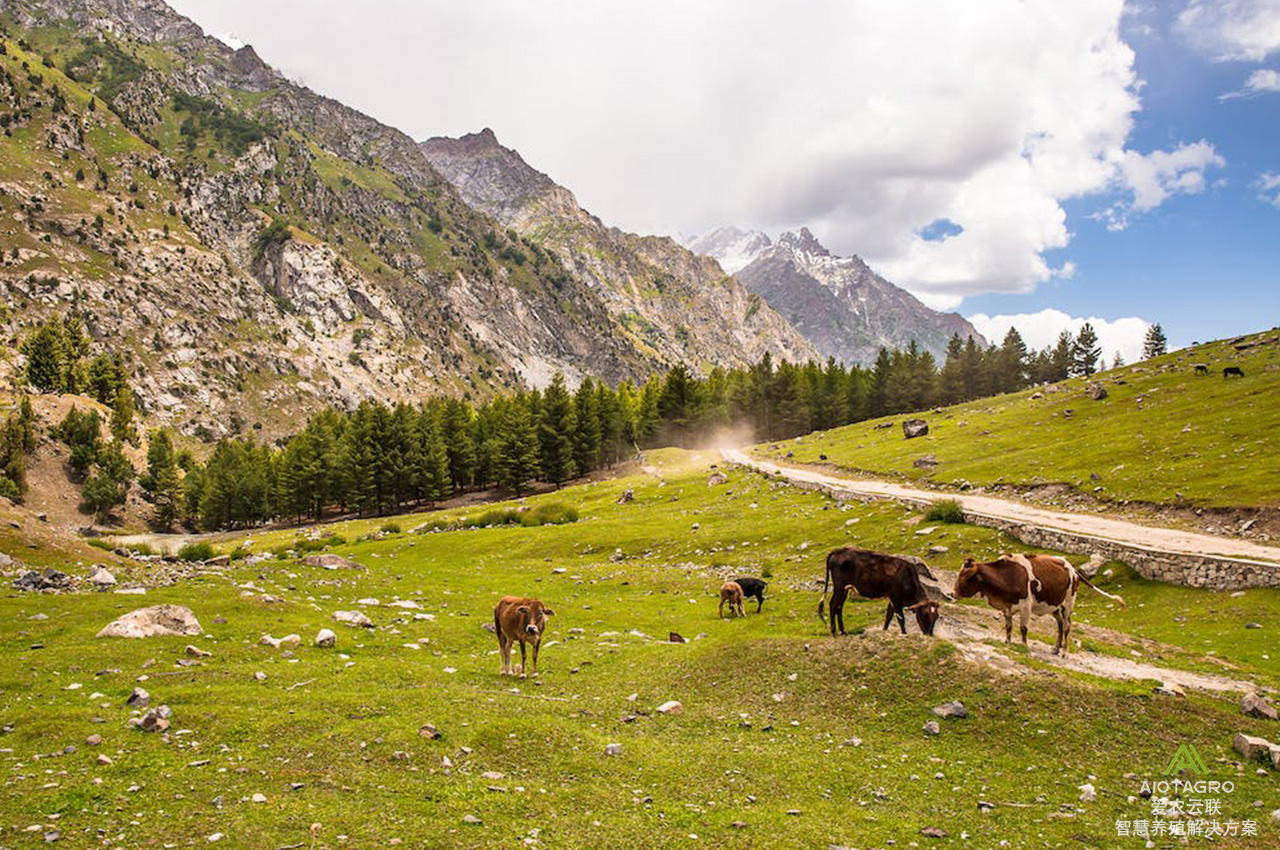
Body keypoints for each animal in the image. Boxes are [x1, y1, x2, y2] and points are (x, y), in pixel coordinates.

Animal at [957, 555, 1126, 652]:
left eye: (966, 577)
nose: (953, 593)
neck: (1008, 575)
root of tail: (1074, 570)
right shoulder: (1007, 607)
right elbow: (1009, 626)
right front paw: (1007, 642)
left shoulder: (1026, 606)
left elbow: (1023, 628)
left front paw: (1023, 646)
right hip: (1055, 606)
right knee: (1059, 624)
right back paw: (1056, 648)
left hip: (1068, 604)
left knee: (1067, 626)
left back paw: (1064, 651)